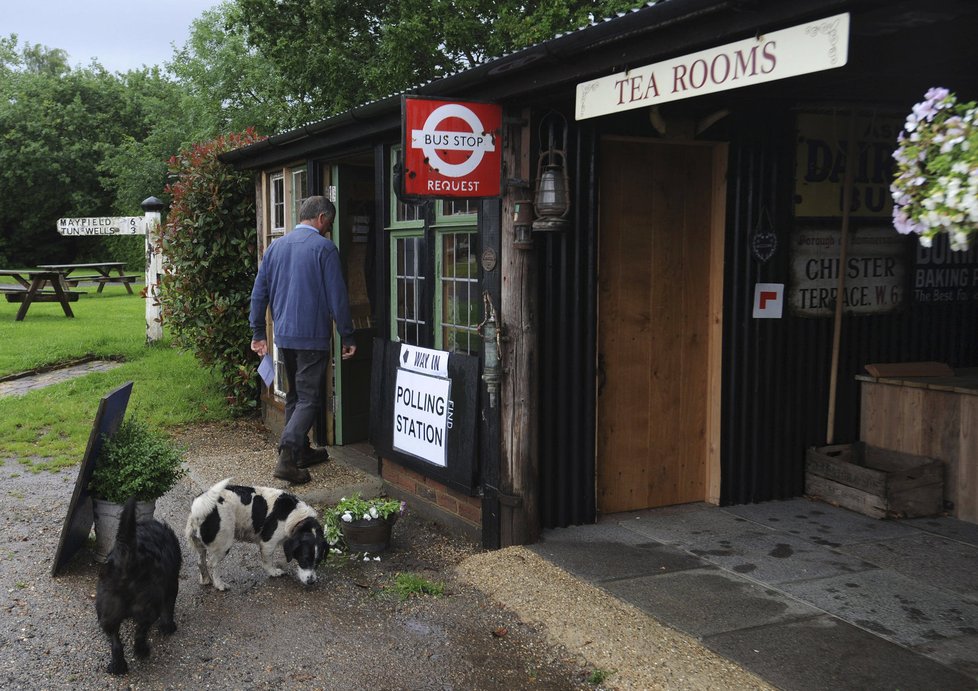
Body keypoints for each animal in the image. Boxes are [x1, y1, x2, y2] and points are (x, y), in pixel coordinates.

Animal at [94, 498, 182, 676]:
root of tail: (126, 558)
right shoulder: (172, 584)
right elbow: (169, 608)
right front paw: (168, 627)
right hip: (147, 606)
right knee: (141, 631)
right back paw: (142, 651)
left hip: (107, 610)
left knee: (115, 641)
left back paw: (118, 666)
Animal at [185, 482, 330, 588]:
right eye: (305, 559)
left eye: (318, 561)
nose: (311, 582)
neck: (295, 516)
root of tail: (199, 507)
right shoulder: (268, 543)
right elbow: (268, 561)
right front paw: (274, 572)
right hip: (223, 544)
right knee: (212, 564)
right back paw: (219, 585)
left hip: (200, 545)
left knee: (200, 562)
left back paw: (206, 580)